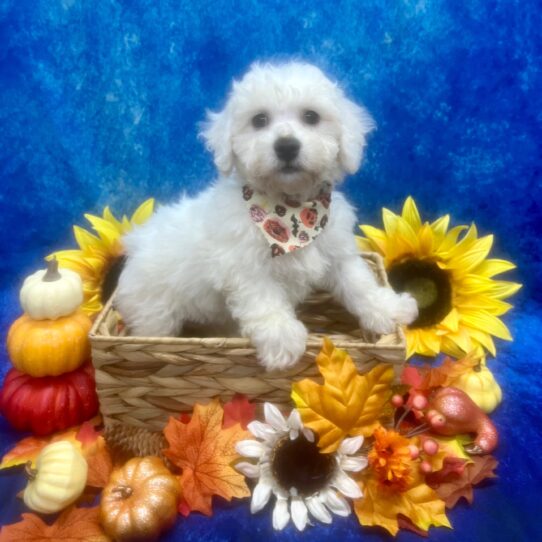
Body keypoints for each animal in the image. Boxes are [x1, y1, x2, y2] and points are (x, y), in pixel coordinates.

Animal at [117, 61, 418, 372]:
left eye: (311, 116)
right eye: (259, 120)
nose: (286, 146)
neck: (290, 209)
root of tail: (137, 242)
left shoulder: (337, 252)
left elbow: (359, 283)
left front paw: (389, 308)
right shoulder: (244, 267)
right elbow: (264, 299)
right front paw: (282, 339)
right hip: (154, 311)